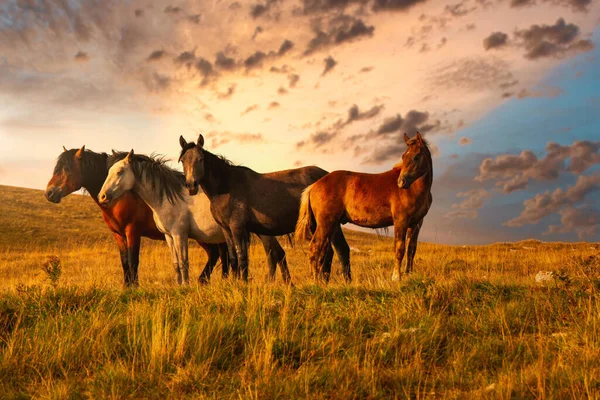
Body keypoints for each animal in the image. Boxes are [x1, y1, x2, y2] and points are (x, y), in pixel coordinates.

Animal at [45, 145, 229, 286]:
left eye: (67, 169)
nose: (49, 193)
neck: (122, 197)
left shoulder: (133, 231)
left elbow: (134, 260)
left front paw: (134, 286)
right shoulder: (118, 235)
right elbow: (125, 261)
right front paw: (126, 286)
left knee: (216, 254)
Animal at [98, 150, 290, 284]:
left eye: (120, 171)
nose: (102, 196)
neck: (167, 197)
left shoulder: (179, 235)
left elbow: (184, 262)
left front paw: (186, 286)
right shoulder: (168, 236)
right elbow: (176, 263)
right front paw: (178, 285)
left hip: (264, 234)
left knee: (274, 254)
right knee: (277, 254)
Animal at [178, 134, 352, 282]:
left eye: (200, 159)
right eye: (183, 161)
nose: (191, 186)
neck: (225, 187)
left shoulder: (237, 228)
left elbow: (242, 257)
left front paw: (243, 283)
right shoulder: (226, 229)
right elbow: (233, 258)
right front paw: (234, 283)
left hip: (329, 224)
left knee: (340, 250)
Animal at [294, 133, 432, 280]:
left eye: (416, 156)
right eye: (403, 156)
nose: (401, 182)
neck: (414, 189)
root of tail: (313, 186)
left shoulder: (416, 223)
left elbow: (412, 249)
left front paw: (408, 274)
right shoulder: (401, 221)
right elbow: (400, 248)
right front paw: (396, 277)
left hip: (332, 225)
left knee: (324, 250)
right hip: (325, 223)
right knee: (315, 248)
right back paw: (315, 280)